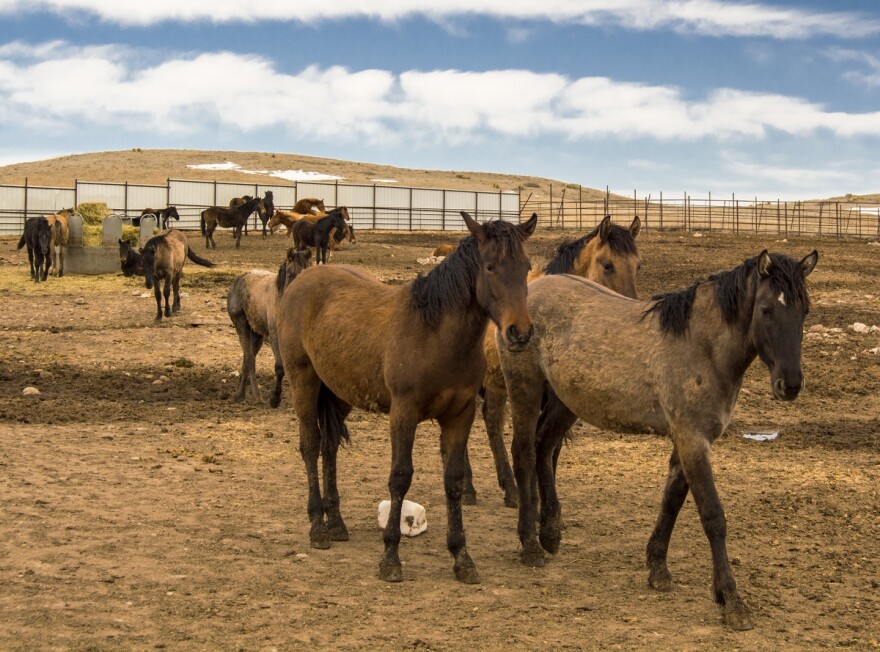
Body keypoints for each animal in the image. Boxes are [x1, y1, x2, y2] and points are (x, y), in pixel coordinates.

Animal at [227, 248, 312, 406]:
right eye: (290, 274)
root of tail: (238, 280)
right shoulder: (274, 336)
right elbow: (279, 367)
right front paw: (274, 399)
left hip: (257, 336)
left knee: (247, 359)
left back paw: (240, 394)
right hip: (242, 328)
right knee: (250, 360)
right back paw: (257, 397)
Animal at [275, 211, 538, 584]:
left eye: (526, 267)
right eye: (489, 266)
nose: (520, 333)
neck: (436, 335)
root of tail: (303, 279)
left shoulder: (460, 415)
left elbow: (454, 481)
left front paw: (462, 557)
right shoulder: (404, 412)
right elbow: (400, 477)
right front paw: (390, 557)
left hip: (339, 392)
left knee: (329, 447)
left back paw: (336, 522)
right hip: (304, 381)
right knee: (311, 445)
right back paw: (317, 526)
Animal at [497, 249, 818, 630]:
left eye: (804, 310)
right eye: (767, 309)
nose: (791, 384)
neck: (702, 346)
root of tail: (530, 293)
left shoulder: (688, 440)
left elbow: (671, 501)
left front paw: (658, 568)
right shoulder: (692, 439)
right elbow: (713, 516)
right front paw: (732, 601)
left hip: (566, 401)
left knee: (545, 447)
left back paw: (550, 533)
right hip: (526, 390)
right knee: (524, 453)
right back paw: (530, 544)